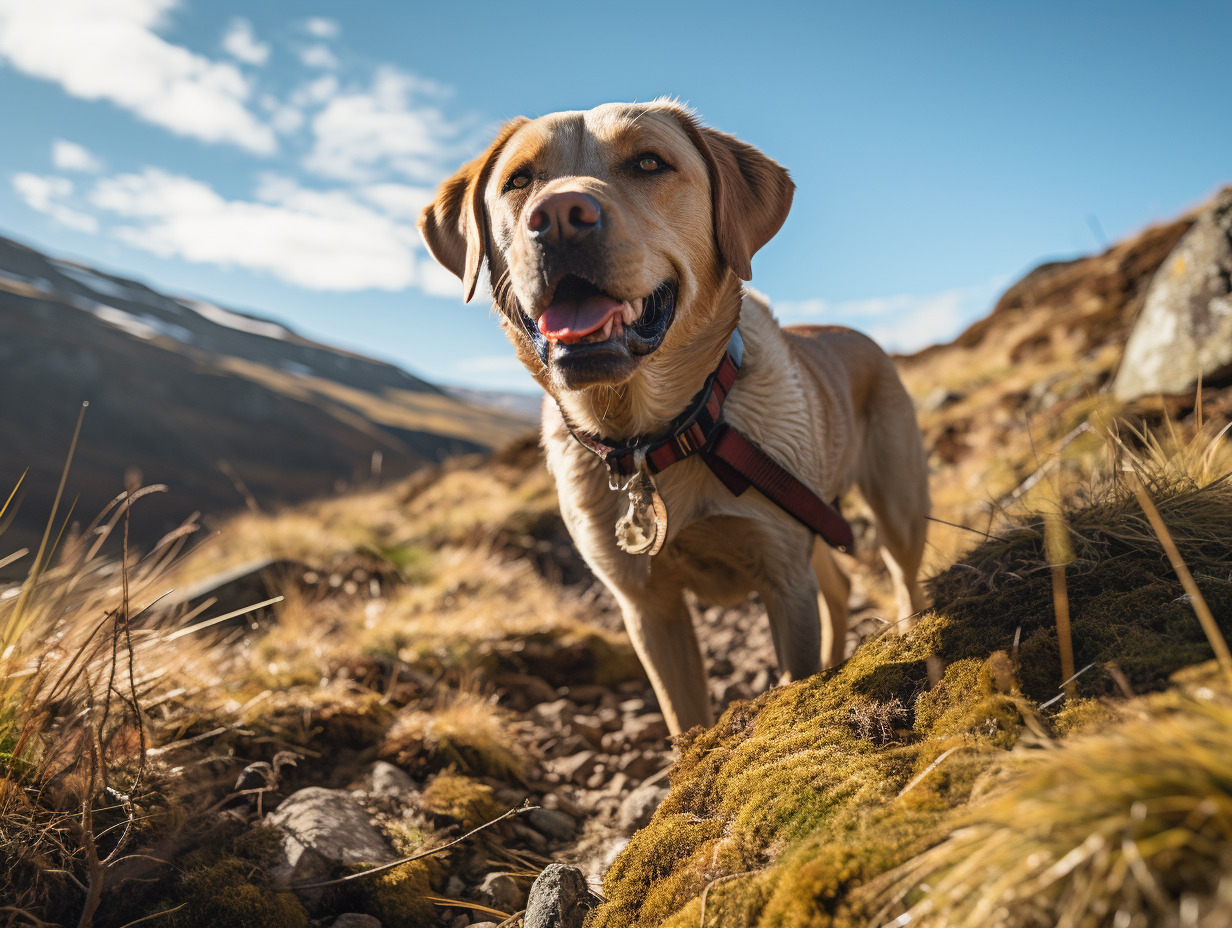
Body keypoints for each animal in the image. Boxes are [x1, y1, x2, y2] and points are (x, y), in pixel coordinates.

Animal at [418, 101, 926, 734]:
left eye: (649, 163)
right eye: (518, 180)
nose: (558, 216)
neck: (658, 434)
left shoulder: (783, 578)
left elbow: (793, 664)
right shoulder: (648, 606)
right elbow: (684, 718)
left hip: (895, 508)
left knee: (904, 577)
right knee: (838, 583)